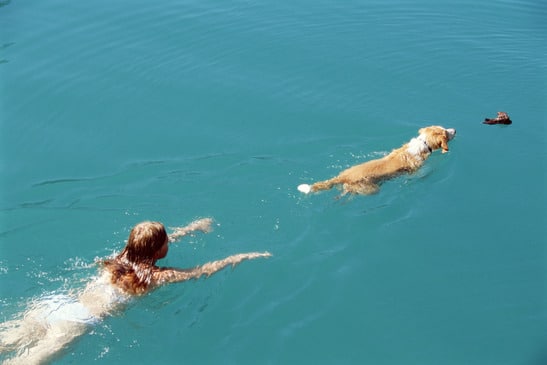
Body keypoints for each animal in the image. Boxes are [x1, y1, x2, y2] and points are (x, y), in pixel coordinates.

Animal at [298, 126, 456, 196]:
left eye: (444, 128)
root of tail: (343, 177)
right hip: (371, 189)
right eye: (446, 132)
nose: (455, 129)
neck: (423, 143)